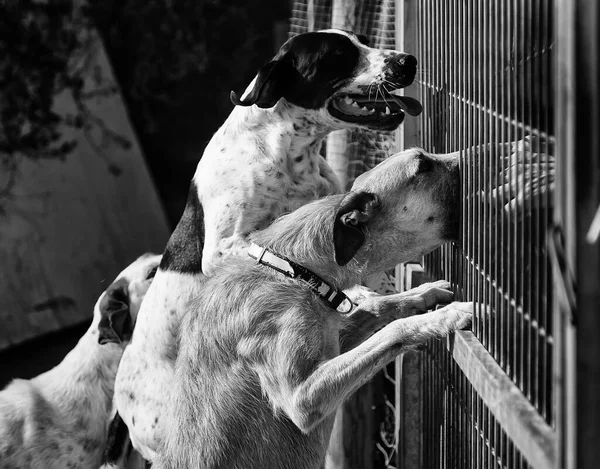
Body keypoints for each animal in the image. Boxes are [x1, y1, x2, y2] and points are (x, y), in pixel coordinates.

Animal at [152, 147, 472, 468]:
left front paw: (423, 294)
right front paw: (445, 316)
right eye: (422, 165)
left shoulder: (332, 339)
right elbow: (392, 331)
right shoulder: (303, 398)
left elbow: (378, 306)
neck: (291, 269)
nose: (478, 153)